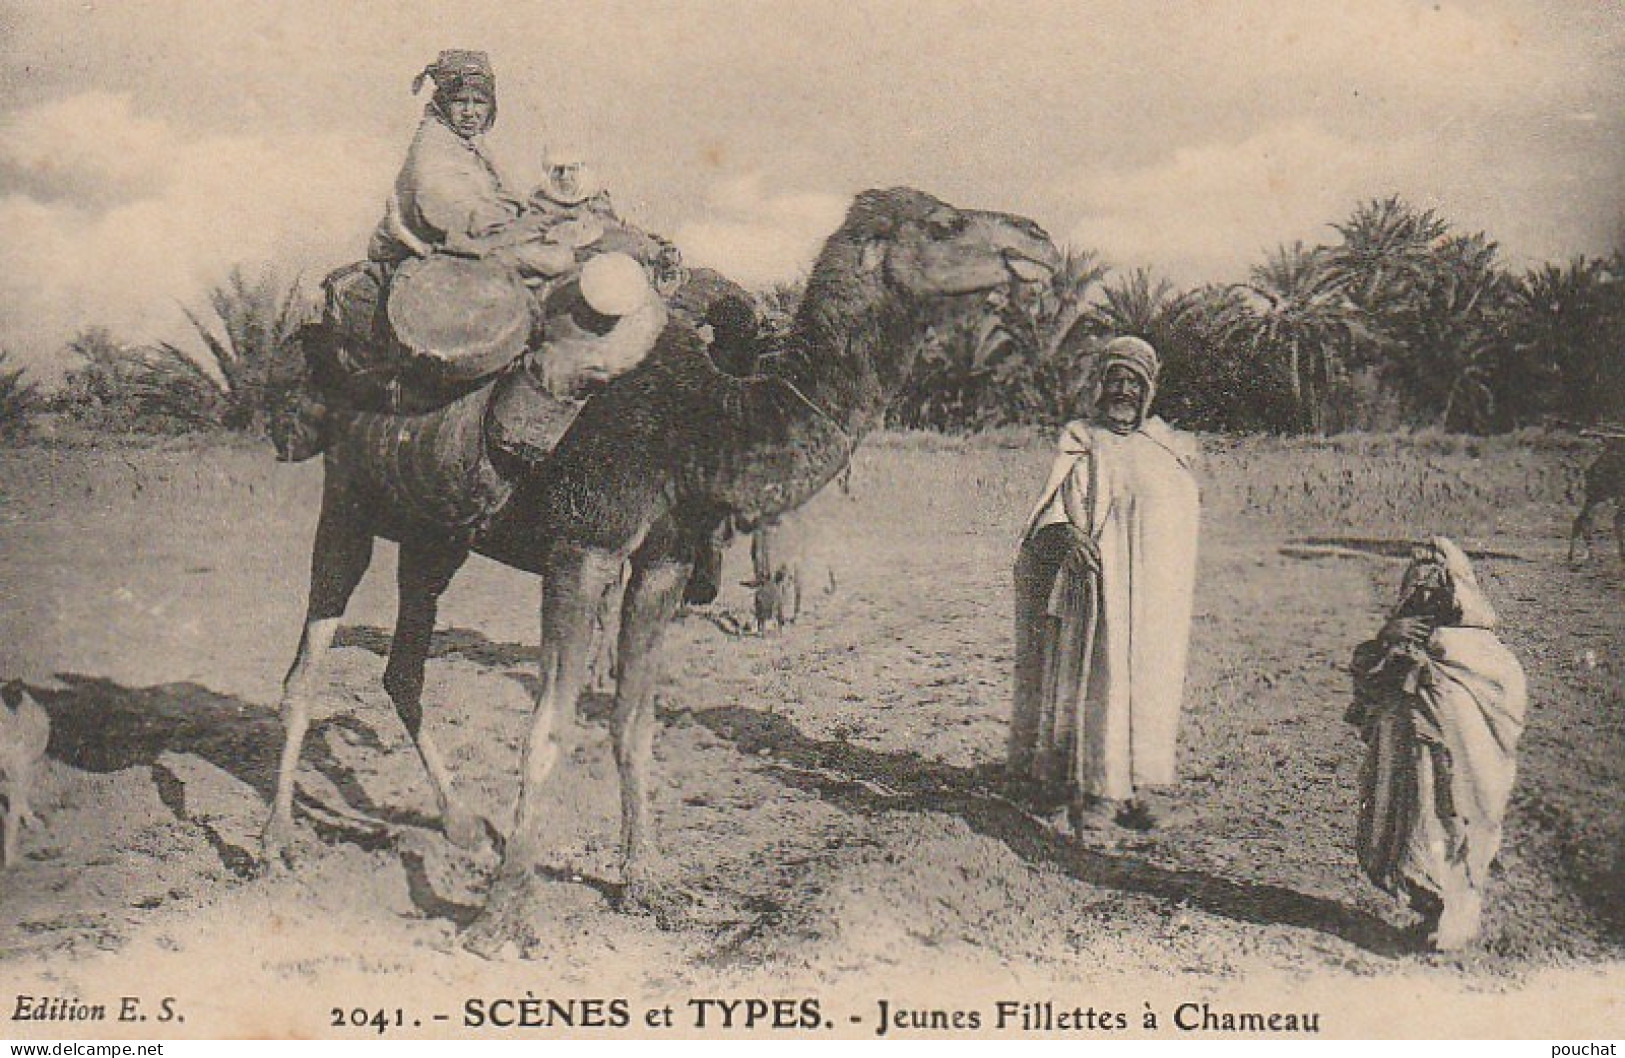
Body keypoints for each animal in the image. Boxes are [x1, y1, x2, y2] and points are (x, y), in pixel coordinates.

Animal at [260, 186, 1059, 955]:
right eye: (944, 223)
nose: (1041, 240)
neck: (700, 426)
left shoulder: (665, 562)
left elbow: (633, 721)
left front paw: (646, 881)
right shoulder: (585, 548)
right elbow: (548, 729)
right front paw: (501, 918)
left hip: (436, 536)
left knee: (403, 671)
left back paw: (462, 826)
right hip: (348, 502)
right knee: (305, 667)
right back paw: (276, 842)